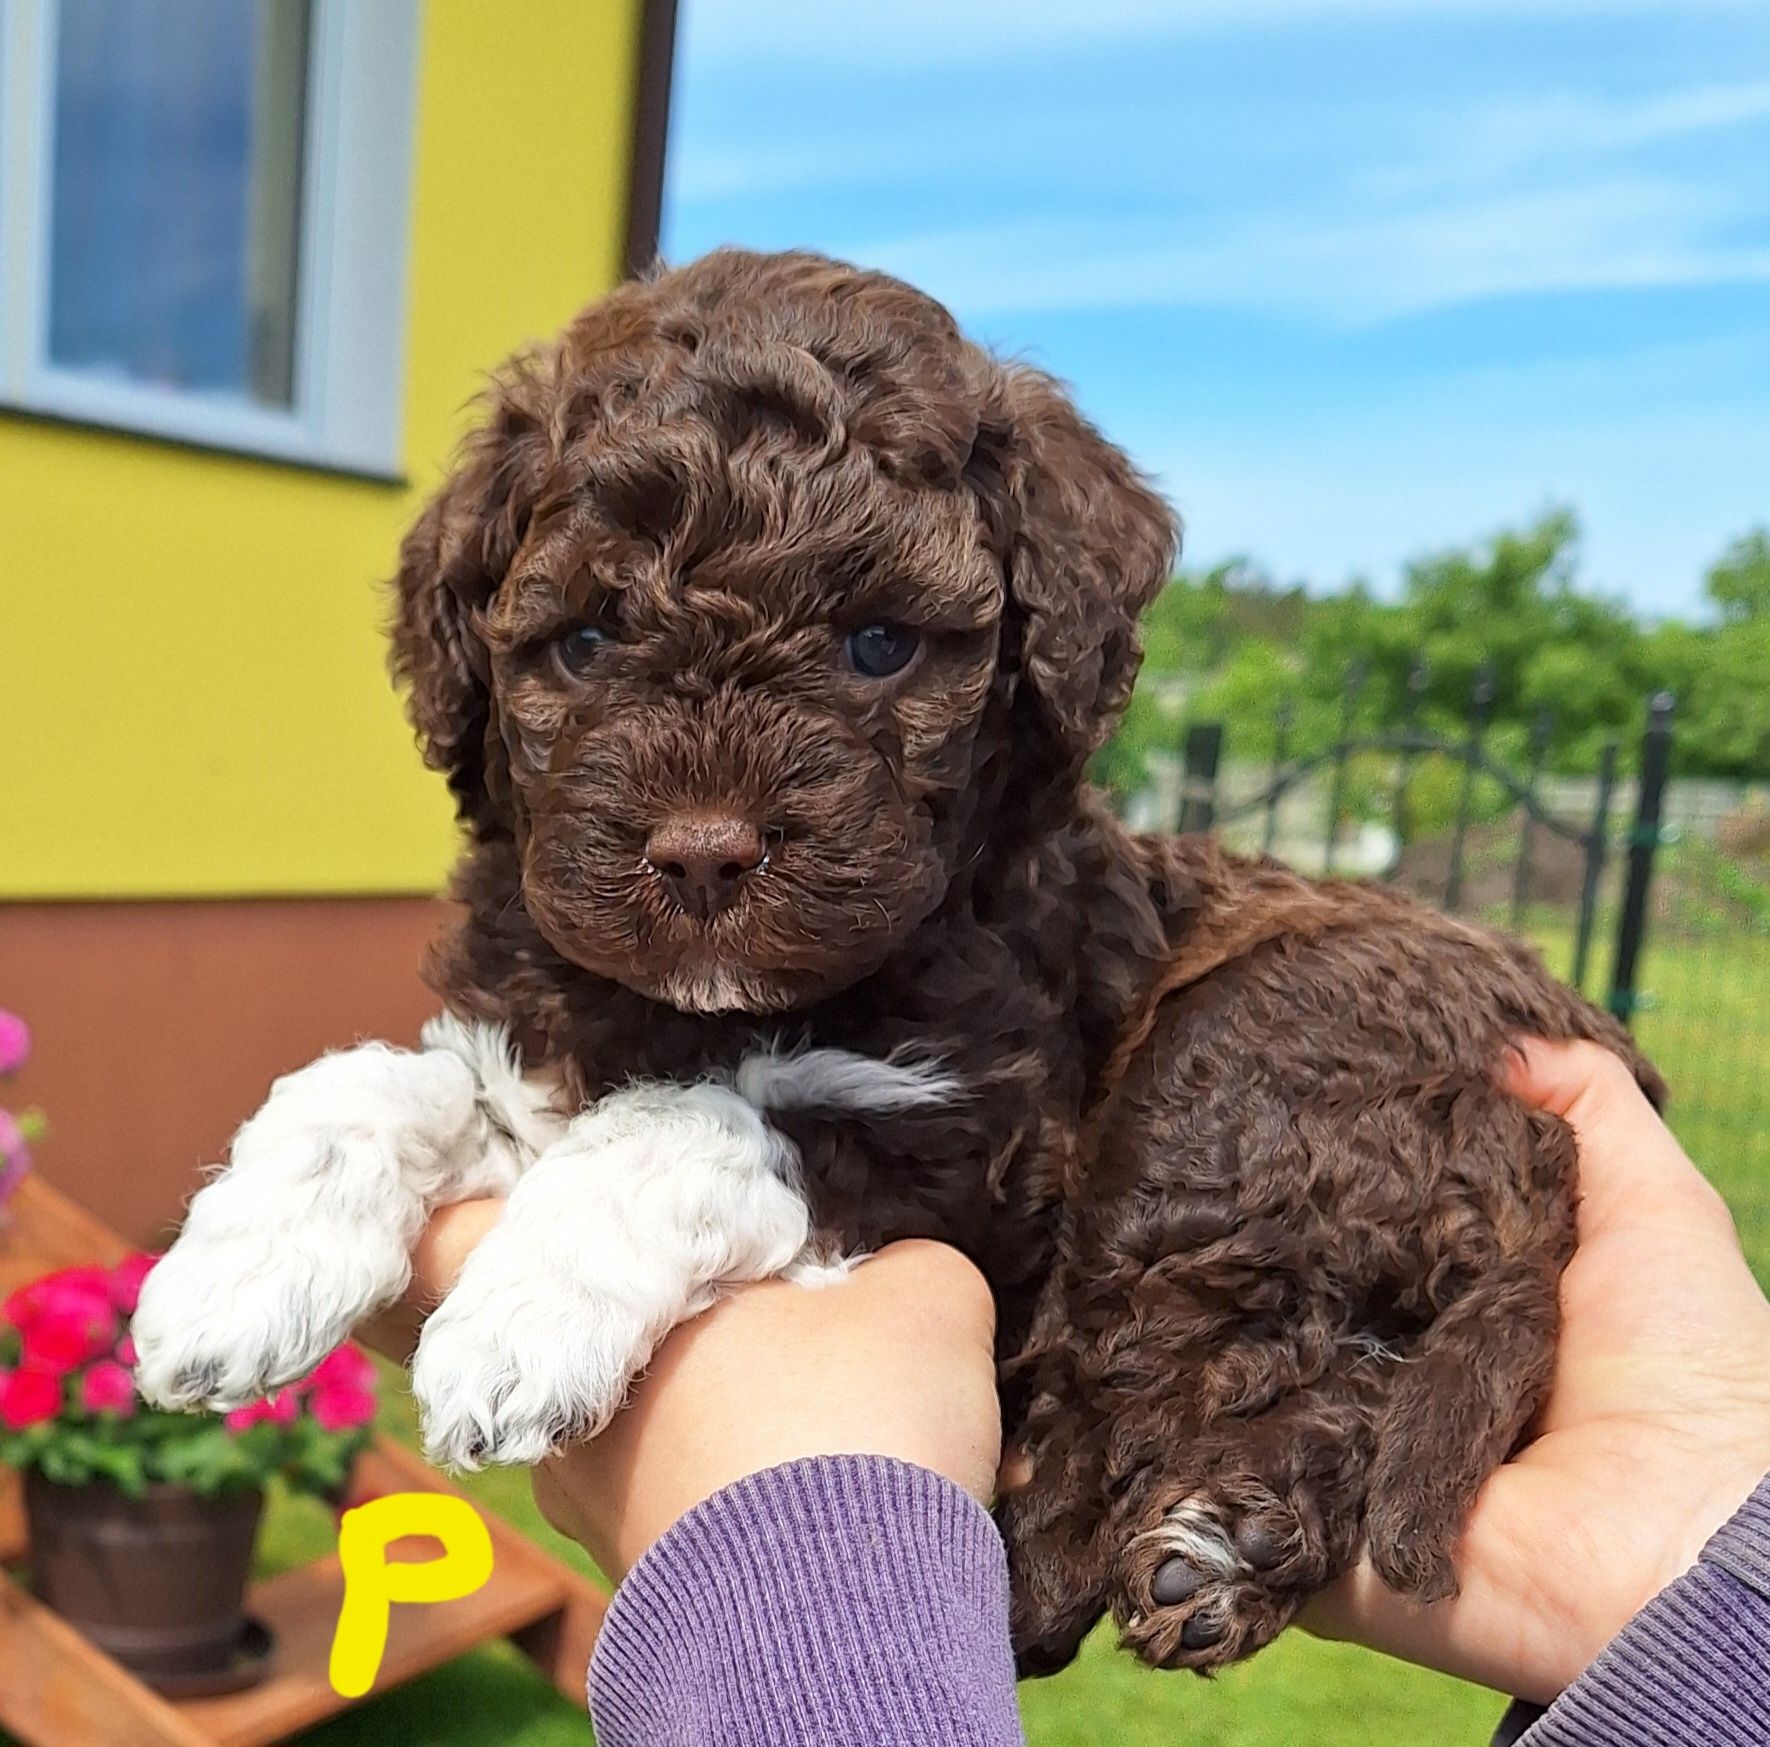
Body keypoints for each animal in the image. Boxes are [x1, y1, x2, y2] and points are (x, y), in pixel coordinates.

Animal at [387, 249, 1656, 1677]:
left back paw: (1074, 1567)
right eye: (587, 642)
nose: (705, 854)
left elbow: (702, 1120)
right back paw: (1231, 1539)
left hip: (1216, 1079)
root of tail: (1542, 1114)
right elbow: (403, 1085)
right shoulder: (530, 1033)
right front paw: (269, 1254)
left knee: (1113, 1425)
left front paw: (525, 1314)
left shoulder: (982, 1162)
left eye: (879, 643)